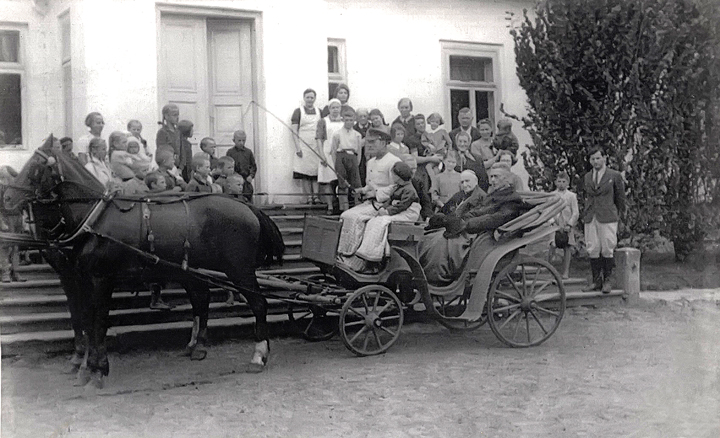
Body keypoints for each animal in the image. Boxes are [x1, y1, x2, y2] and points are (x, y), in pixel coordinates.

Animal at [3, 143, 284, 386]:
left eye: (36, 165)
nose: (7, 198)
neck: (94, 218)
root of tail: (246, 205)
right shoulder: (78, 277)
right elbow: (83, 319)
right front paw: (85, 365)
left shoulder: (99, 278)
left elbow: (96, 321)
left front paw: (97, 368)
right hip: (195, 269)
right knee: (201, 300)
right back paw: (196, 346)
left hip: (239, 269)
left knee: (258, 303)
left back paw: (258, 355)